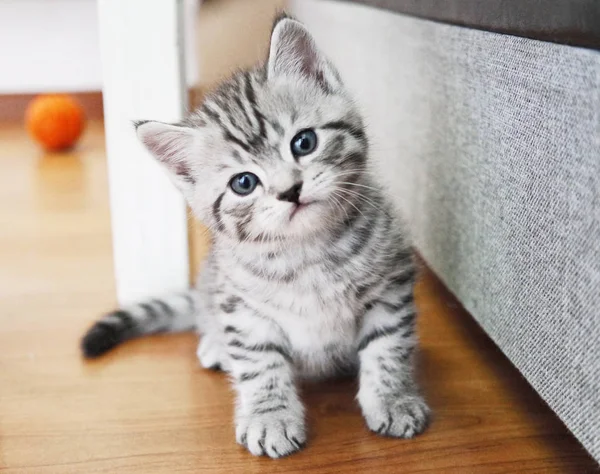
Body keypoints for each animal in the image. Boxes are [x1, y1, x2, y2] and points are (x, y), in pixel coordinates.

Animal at [83, 14, 432, 458]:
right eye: (244, 183)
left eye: (304, 142)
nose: (290, 190)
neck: (309, 253)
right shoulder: (244, 309)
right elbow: (260, 363)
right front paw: (270, 417)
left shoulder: (391, 286)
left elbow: (387, 347)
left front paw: (392, 398)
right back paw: (215, 345)